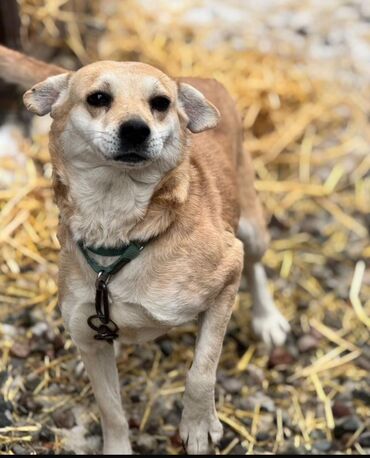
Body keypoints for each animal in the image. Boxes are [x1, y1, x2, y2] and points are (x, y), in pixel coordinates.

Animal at [0, 45, 290, 454]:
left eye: (161, 104)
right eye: (98, 98)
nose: (137, 129)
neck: (118, 225)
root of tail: (197, 78)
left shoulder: (226, 272)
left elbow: (201, 371)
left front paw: (198, 426)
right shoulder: (90, 336)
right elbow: (111, 410)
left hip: (250, 228)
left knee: (256, 266)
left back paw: (267, 319)